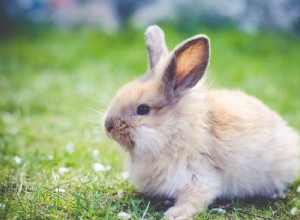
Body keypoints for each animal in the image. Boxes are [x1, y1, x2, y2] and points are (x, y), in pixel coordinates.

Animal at [103, 25, 300, 218]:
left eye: (142, 109)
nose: (107, 126)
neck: (174, 130)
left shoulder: (196, 178)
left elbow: (192, 200)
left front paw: (174, 214)